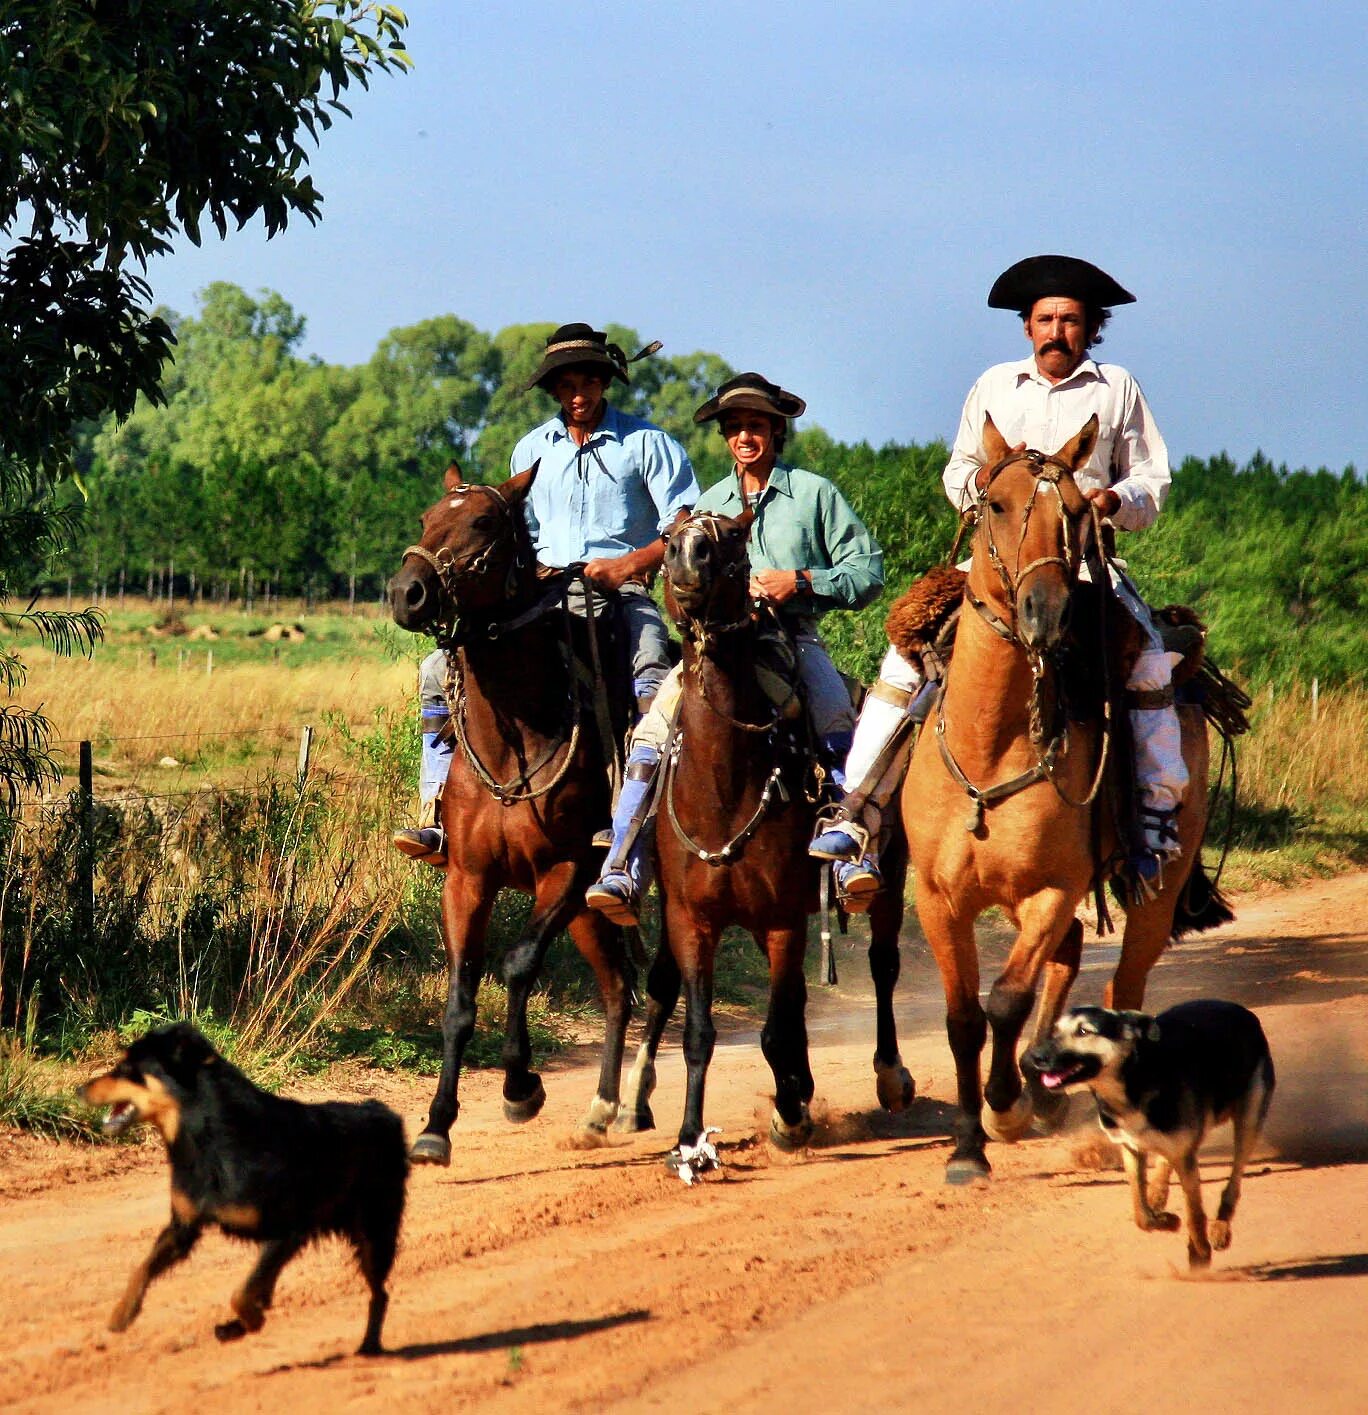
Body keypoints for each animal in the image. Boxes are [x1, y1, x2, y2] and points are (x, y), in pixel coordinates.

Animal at [79, 1024, 407, 1352]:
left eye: (127, 1068)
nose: (79, 1090)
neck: (206, 1138)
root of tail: (385, 1113)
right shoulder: (182, 1228)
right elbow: (144, 1267)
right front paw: (123, 1313)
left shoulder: (287, 1231)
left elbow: (242, 1293)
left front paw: (252, 1320)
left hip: (375, 1232)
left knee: (380, 1292)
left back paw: (369, 1345)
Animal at [384, 464, 630, 1160]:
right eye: (426, 518)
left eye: (484, 522)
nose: (407, 592)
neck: (515, 736)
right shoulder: (468, 879)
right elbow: (460, 998)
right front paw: (436, 1125)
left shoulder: (568, 871)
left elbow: (518, 965)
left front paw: (521, 1086)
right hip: (591, 914)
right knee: (619, 988)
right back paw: (608, 1109)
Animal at [616, 512, 916, 1160]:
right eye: (672, 533)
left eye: (730, 536)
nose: (687, 557)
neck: (724, 790)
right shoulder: (693, 921)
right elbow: (701, 1032)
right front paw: (690, 1137)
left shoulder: (781, 919)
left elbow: (776, 1029)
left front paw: (791, 1117)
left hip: (885, 880)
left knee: (882, 965)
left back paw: (886, 1077)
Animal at [905, 416, 1222, 1182]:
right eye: (995, 504)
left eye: (1077, 512)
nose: (1044, 613)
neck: (991, 744)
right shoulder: (937, 896)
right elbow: (964, 1016)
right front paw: (969, 1145)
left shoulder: (1053, 888)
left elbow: (1005, 999)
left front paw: (1005, 1107)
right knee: (1072, 954)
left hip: (1154, 894)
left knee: (1120, 990)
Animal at [1029, 1001, 1278, 1267]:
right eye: (1055, 1031)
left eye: (1084, 1031)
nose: (1035, 1057)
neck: (1131, 1080)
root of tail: (1243, 1011)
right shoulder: (1131, 1148)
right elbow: (1142, 1214)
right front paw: (1166, 1221)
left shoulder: (1184, 1156)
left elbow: (1194, 1214)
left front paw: (1200, 1251)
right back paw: (1158, 1193)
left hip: (1249, 1119)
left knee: (1234, 1181)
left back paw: (1220, 1226)